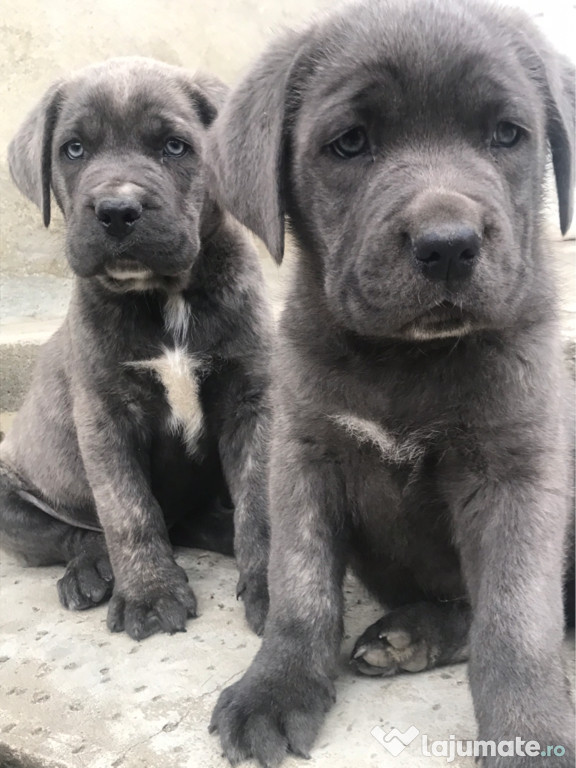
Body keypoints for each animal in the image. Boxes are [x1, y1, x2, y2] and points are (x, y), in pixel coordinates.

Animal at [0, 55, 272, 640]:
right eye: (73, 149)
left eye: (175, 146)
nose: (117, 210)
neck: (164, 297)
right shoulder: (105, 417)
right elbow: (127, 511)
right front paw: (149, 593)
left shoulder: (251, 400)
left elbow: (260, 499)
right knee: (79, 535)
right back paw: (90, 573)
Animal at [209, 1, 572, 768]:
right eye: (350, 144)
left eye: (507, 134)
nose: (449, 244)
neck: (405, 361)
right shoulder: (304, 455)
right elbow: (301, 586)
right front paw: (276, 687)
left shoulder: (516, 471)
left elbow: (516, 624)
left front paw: (529, 733)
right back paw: (409, 636)